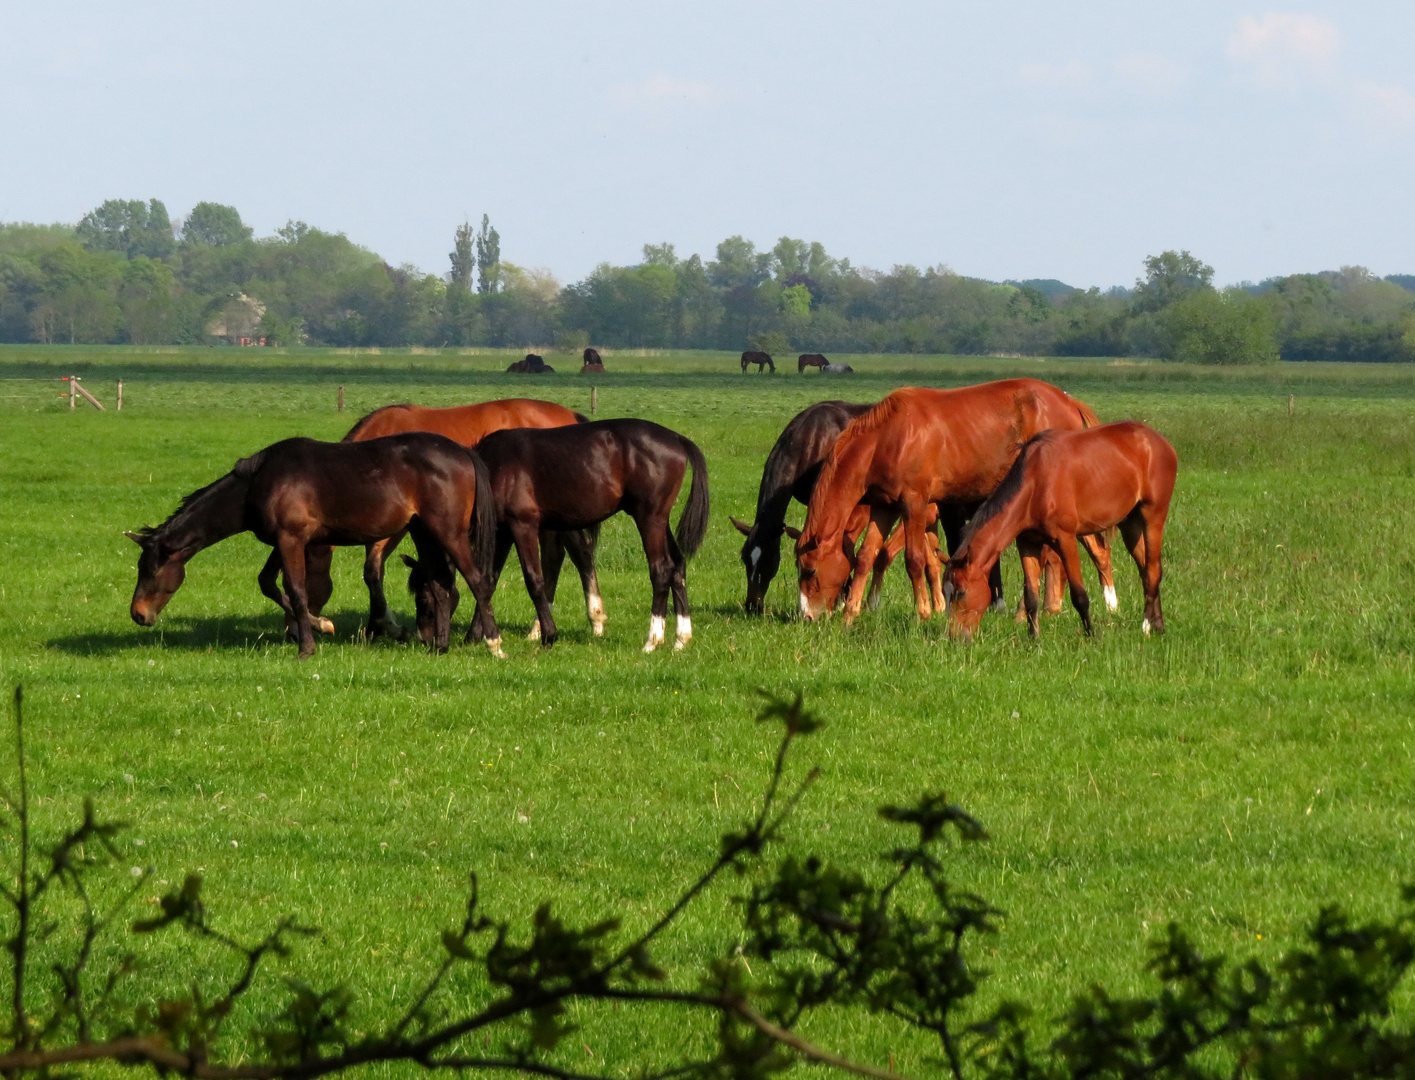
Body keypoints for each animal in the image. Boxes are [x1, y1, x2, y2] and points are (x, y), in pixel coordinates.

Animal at [125, 435, 503, 659]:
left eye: (151, 569)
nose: (138, 614)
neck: (259, 481)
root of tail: (463, 453)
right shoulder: (284, 541)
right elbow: (269, 584)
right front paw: (320, 624)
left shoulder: (291, 539)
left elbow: (296, 588)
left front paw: (307, 645)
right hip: (423, 533)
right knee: (441, 588)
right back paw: (440, 646)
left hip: (449, 534)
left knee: (478, 582)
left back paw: (493, 643)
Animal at [295, 401, 605, 645]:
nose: (293, 633)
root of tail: (569, 415)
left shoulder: (399, 524)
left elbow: (373, 570)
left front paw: (384, 626)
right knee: (557, 557)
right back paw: (539, 628)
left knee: (580, 554)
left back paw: (593, 618)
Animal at [798, 379, 1115, 619]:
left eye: (810, 570)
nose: (807, 616)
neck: (887, 437)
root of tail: (1070, 402)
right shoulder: (883, 507)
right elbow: (866, 556)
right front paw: (851, 613)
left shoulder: (914, 503)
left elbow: (914, 560)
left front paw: (923, 612)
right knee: (1089, 549)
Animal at [945, 421, 1177, 642]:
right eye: (945, 593)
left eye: (961, 593)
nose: (955, 637)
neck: (1035, 483)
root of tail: (1161, 442)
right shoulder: (1027, 543)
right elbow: (1031, 596)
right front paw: (1033, 638)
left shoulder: (1066, 539)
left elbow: (1079, 595)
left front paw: (1091, 635)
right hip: (1130, 524)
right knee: (1146, 571)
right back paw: (1158, 625)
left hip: (1153, 517)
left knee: (1153, 570)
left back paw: (1147, 626)